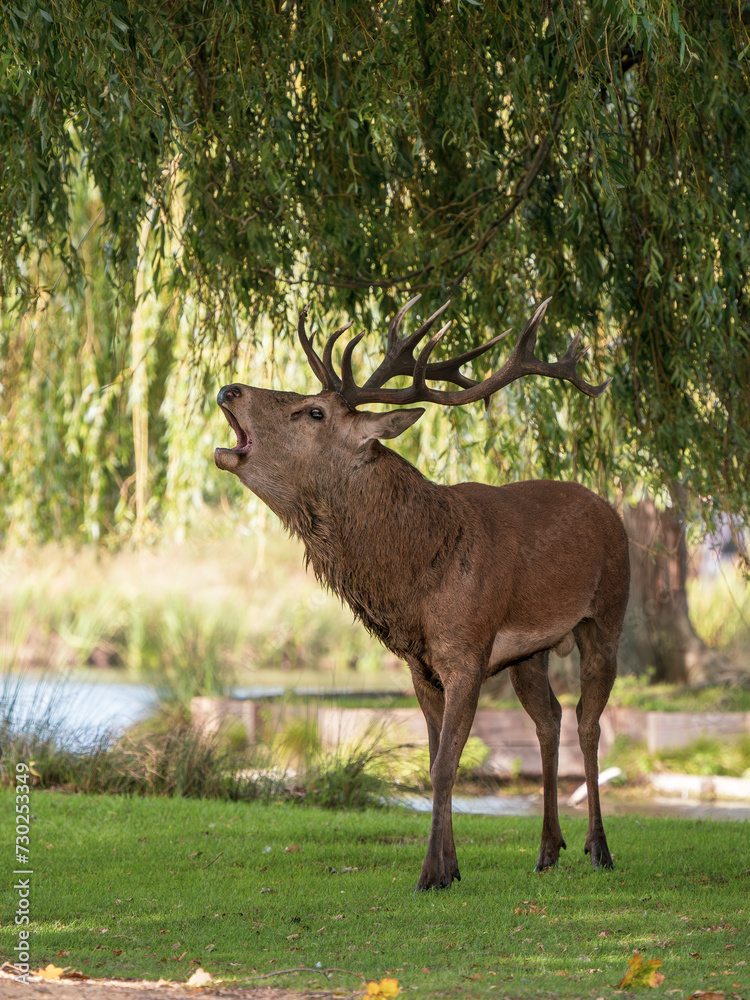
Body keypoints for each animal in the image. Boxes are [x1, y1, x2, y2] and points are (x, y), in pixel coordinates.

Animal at [214, 296, 630, 891]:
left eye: (315, 412)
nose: (230, 390)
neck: (413, 585)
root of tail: (611, 511)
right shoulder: (419, 665)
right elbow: (437, 758)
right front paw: (451, 867)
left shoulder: (469, 651)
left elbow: (443, 765)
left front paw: (430, 873)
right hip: (531, 653)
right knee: (548, 719)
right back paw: (548, 849)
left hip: (607, 617)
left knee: (588, 723)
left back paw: (599, 848)